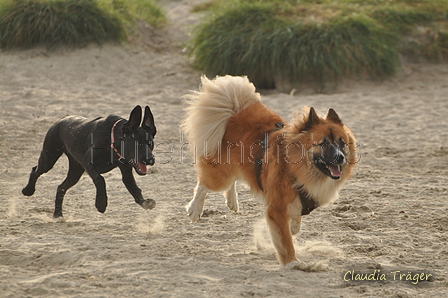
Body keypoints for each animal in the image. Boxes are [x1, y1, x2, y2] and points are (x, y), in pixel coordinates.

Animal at [22, 106, 157, 218]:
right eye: (137, 143)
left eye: (150, 143)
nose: (150, 159)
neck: (112, 141)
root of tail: (61, 120)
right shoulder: (88, 162)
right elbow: (100, 179)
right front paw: (101, 203)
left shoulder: (126, 171)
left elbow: (134, 189)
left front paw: (145, 203)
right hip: (49, 157)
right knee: (36, 170)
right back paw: (28, 190)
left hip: (75, 171)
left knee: (61, 187)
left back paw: (58, 214)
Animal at [182, 75, 356, 266]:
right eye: (323, 144)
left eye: (342, 143)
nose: (340, 158)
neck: (296, 169)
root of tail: (234, 111)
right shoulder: (277, 209)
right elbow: (286, 240)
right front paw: (292, 263)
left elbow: (294, 226)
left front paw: (294, 226)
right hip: (220, 175)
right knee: (204, 185)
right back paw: (195, 209)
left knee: (230, 181)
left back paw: (232, 201)